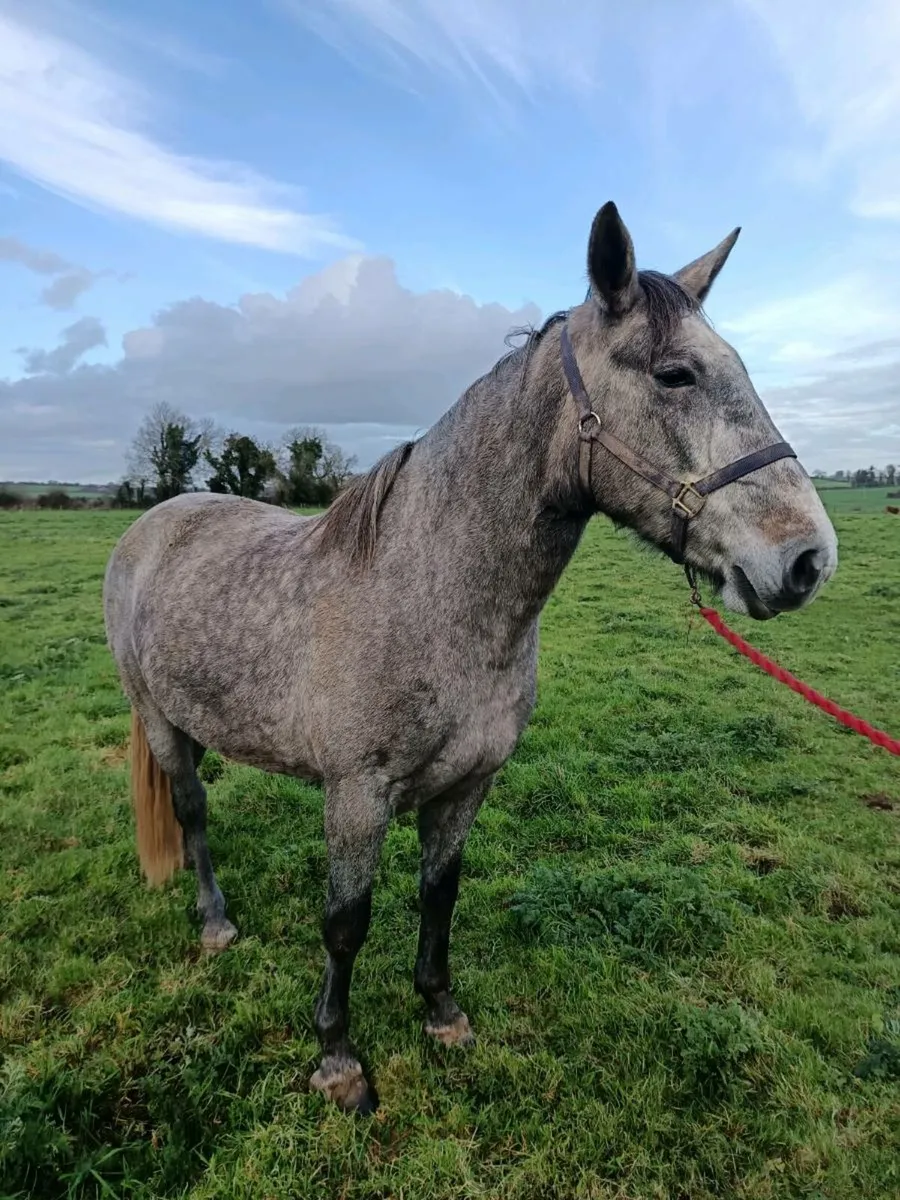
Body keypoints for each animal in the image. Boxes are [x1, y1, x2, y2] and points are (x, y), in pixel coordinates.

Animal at [103, 202, 838, 1114]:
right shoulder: (357, 796)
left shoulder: (467, 785)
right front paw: (337, 1058)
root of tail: (154, 522)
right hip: (160, 722)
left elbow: (438, 894)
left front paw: (440, 1011)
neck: (430, 596)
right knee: (193, 811)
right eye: (675, 376)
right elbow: (345, 923)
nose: (809, 559)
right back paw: (214, 921)